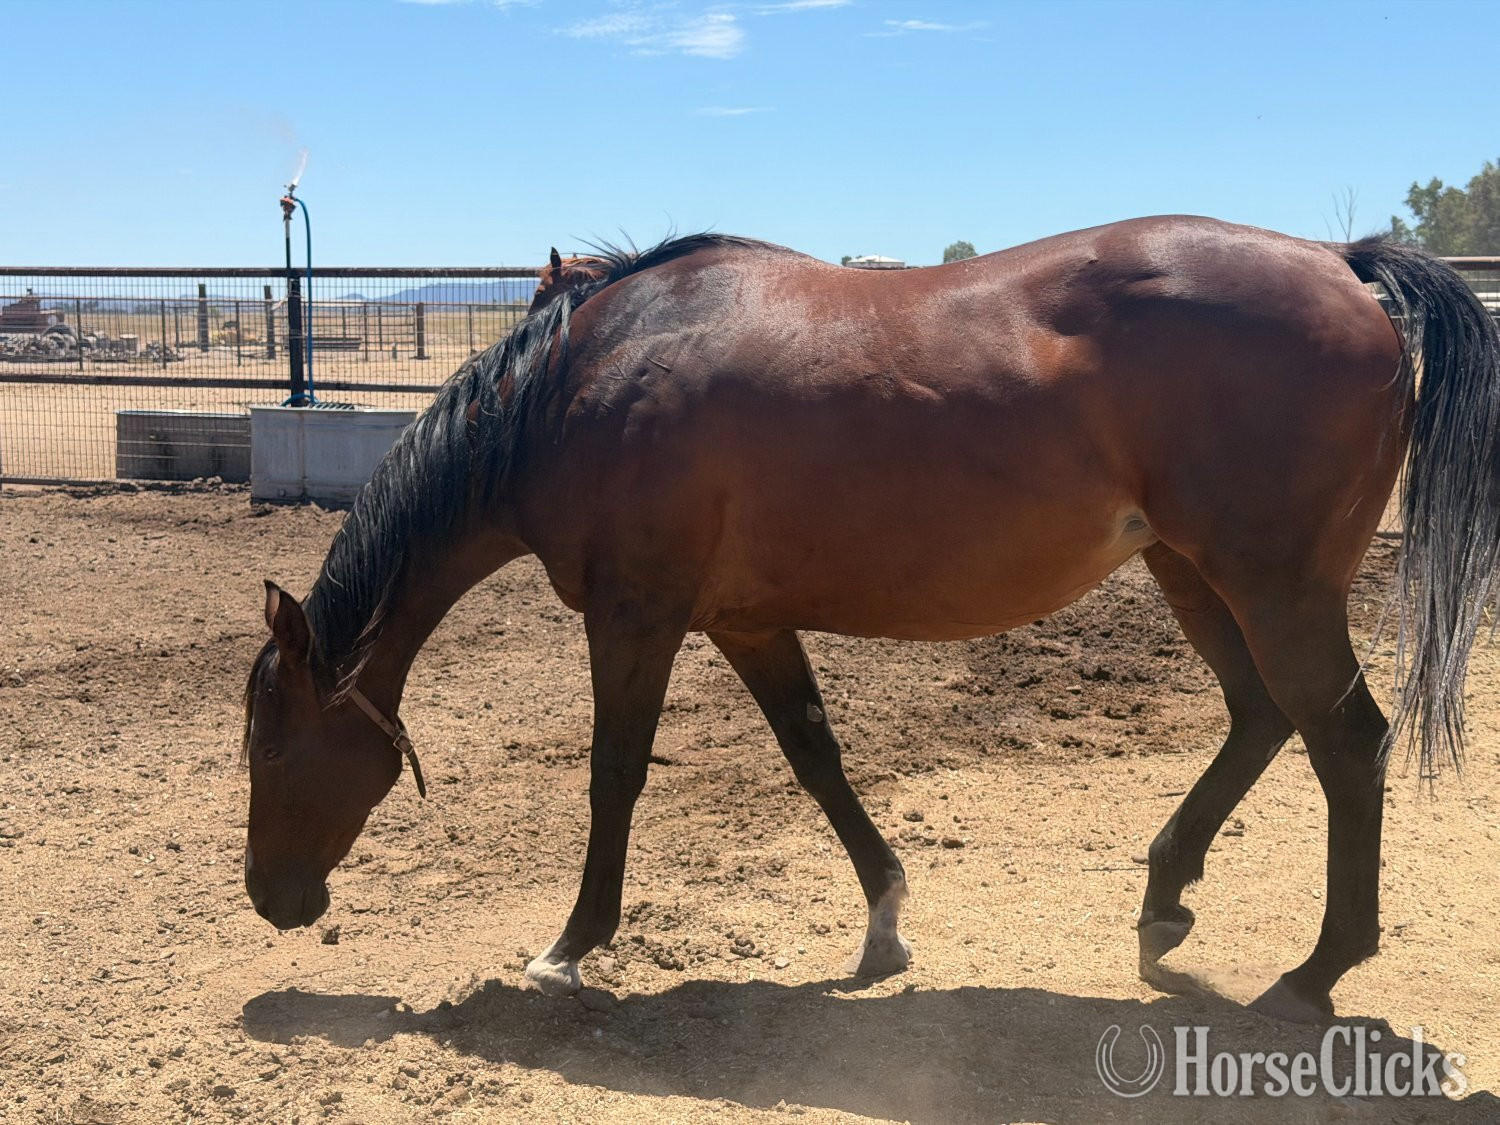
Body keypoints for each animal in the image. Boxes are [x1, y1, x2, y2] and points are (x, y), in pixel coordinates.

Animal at [241, 216, 1500, 1024]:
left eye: (269, 747)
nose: (271, 900)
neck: (578, 384)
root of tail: (1343, 266)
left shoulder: (637, 614)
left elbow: (614, 777)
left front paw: (570, 949)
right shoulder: (743, 622)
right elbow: (815, 755)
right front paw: (887, 920)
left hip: (1274, 586)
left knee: (1347, 743)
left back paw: (1315, 971)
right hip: (1194, 574)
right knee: (1259, 720)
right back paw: (1164, 905)